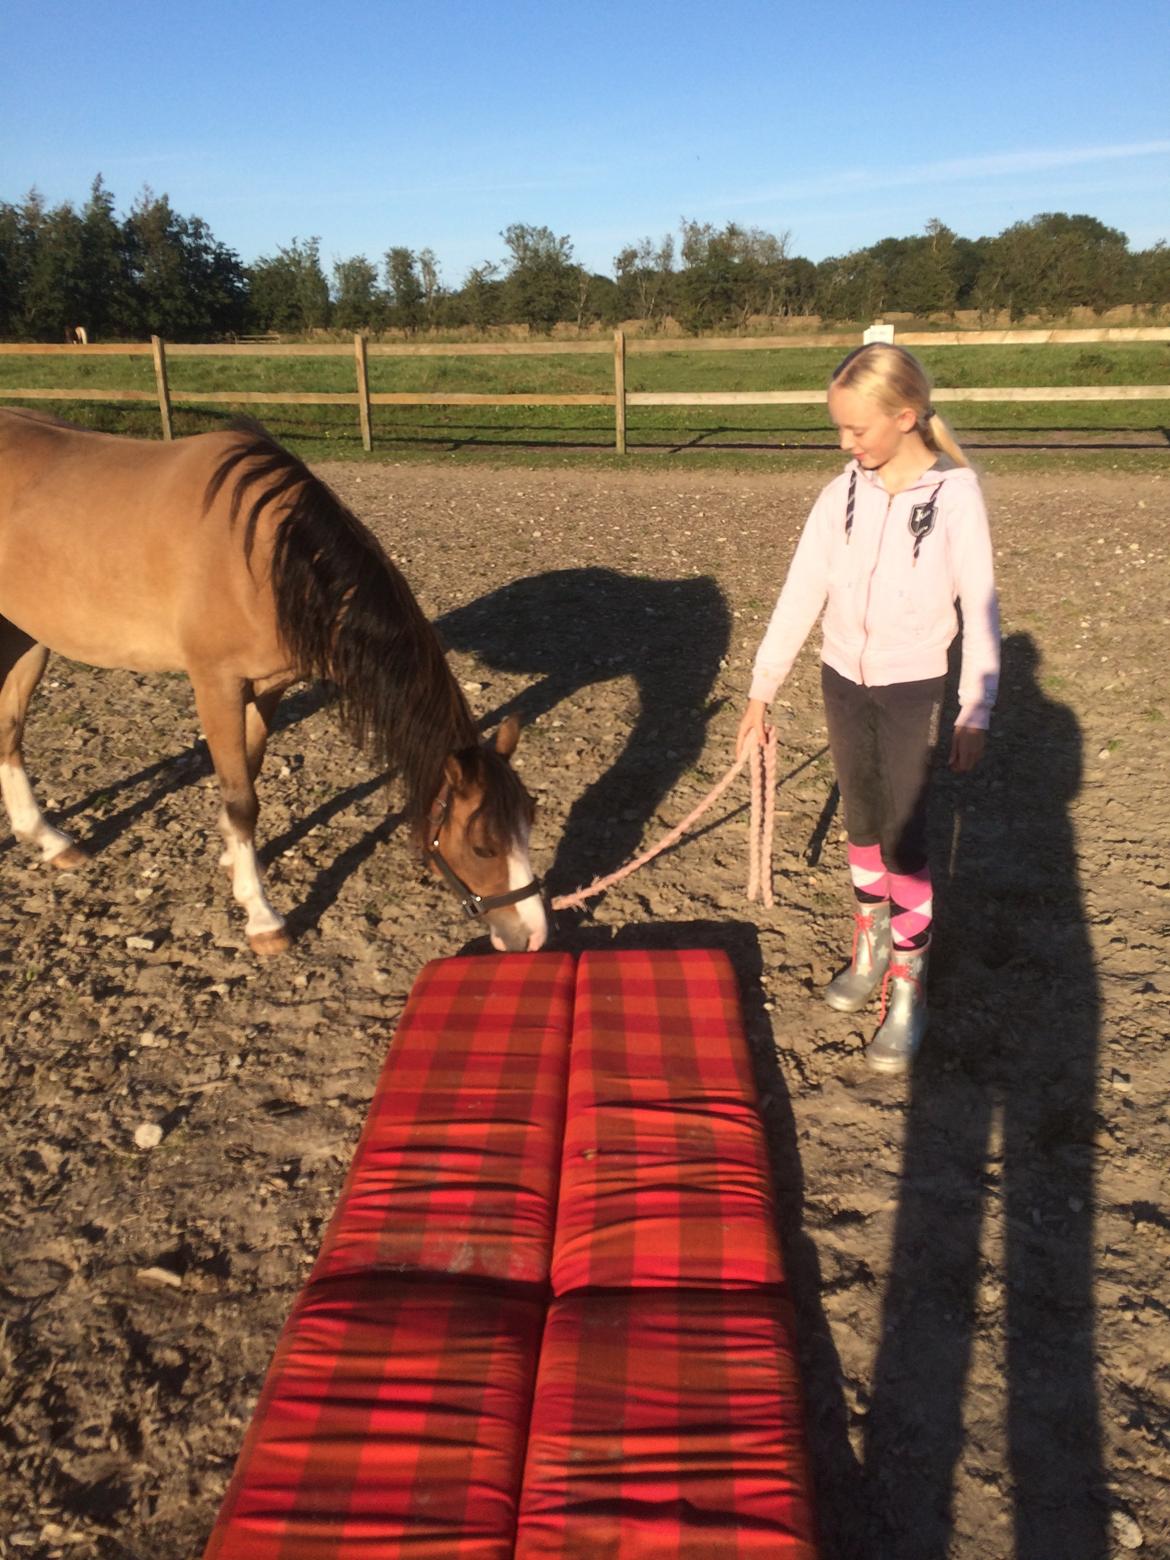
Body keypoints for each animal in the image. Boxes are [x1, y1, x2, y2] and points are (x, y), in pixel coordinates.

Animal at [0, 409, 548, 955]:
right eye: (482, 846)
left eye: (531, 818)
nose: (534, 935)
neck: (267, 555)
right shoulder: (216, 683)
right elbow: (242, 798)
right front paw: (261, 915)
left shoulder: (267, 685)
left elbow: (250, 770)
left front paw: (233, 858)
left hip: (28, 636)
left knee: (10, 732)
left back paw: (49, 840)